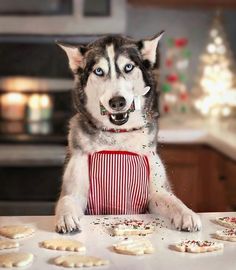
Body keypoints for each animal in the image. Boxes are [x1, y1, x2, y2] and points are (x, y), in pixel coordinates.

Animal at [55, 32, 201, 233]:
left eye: (129, 67)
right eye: (98, 71)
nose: (117, 102)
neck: (118, 138)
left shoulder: (156, 193)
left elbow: (172, 200)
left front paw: (187, 213)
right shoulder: (75, 189)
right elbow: (67, 200)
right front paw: (66, 216)